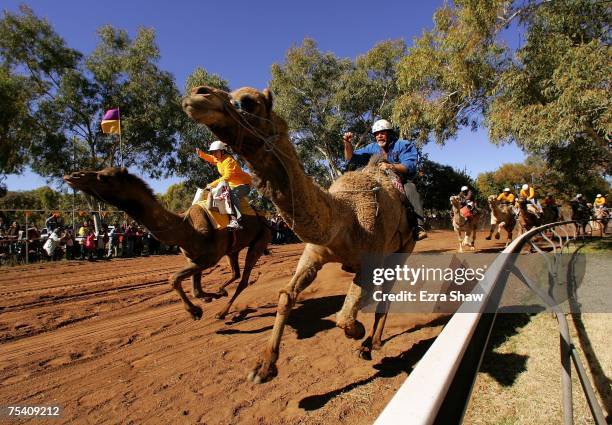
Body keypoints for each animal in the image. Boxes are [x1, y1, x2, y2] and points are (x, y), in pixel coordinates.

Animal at [64, 167, 270, 320]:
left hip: (260, 241)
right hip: (232, 250)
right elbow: (195, 290)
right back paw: (222, 292)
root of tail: (267, 219)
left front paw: (195, 311)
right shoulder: (194, 257)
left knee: (244, 280)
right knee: (235, 272)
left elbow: (173, 279)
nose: (72, 176)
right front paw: (211, 297)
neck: (187, 228)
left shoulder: (208, 258)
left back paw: (222, 312)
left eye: (104, 177)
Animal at [180, 84, 416, 382]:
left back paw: (370, 344)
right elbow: (286, 295)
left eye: (249, 101)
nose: (198, 94)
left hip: (404, 248)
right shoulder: (314, 252)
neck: (345, 216)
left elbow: (343, 317)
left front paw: (358, 332)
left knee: (388, 290)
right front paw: (264, 367)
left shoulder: (372, 258)